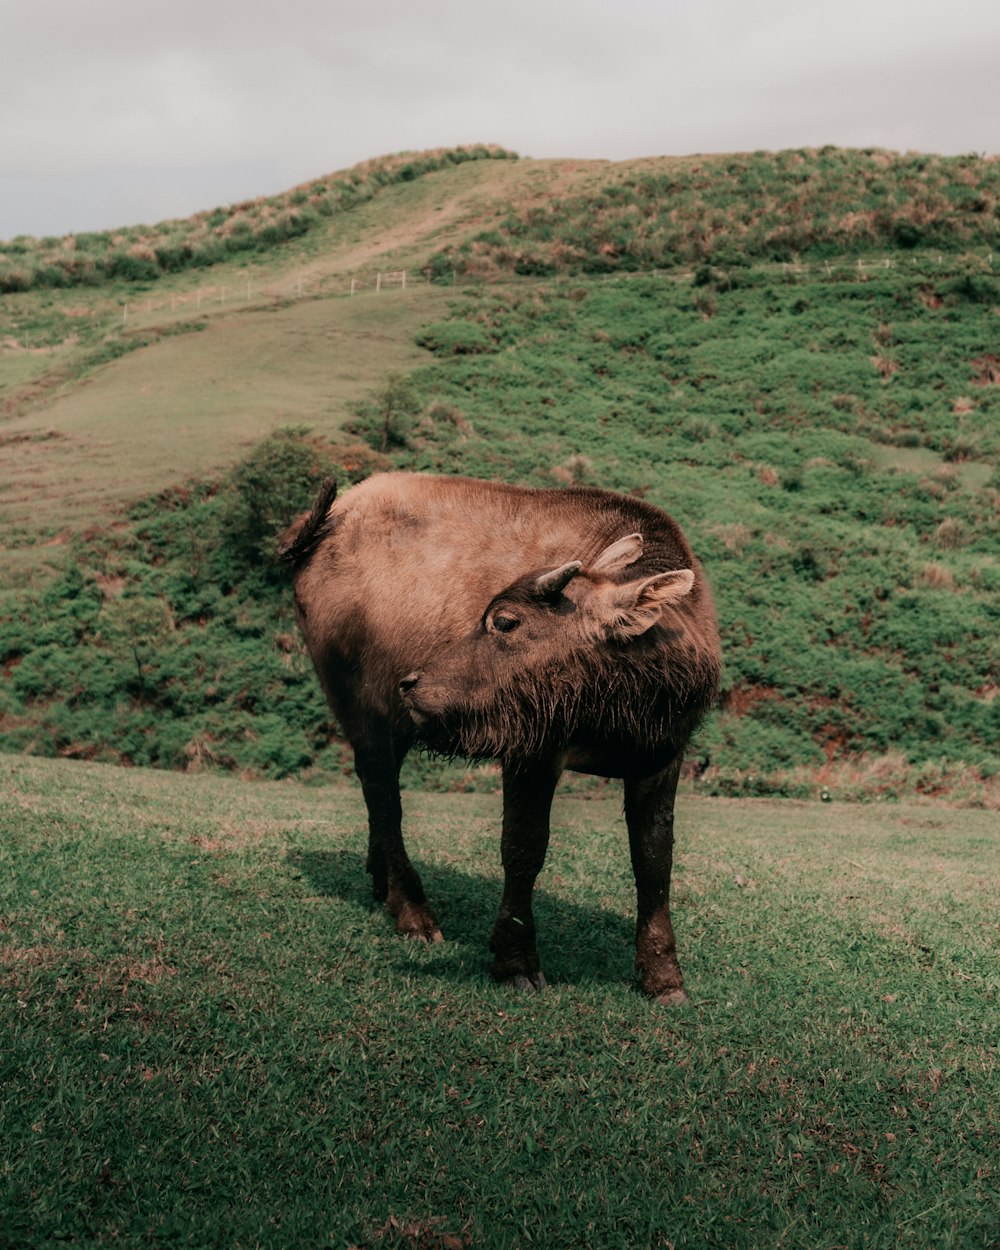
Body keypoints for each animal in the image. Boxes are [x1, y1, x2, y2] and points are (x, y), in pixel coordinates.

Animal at [277, 472, 725, 1000]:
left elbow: (655, 859)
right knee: (385, 796)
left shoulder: (661, 758)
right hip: (361, 705)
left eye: (505, 622)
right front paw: (515, 961)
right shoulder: (532, 751)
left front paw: (663, 976)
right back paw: (413, 911)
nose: (412, 683)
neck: (617, 705)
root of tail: (330, 520)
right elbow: (523, 849)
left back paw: (382, 884)